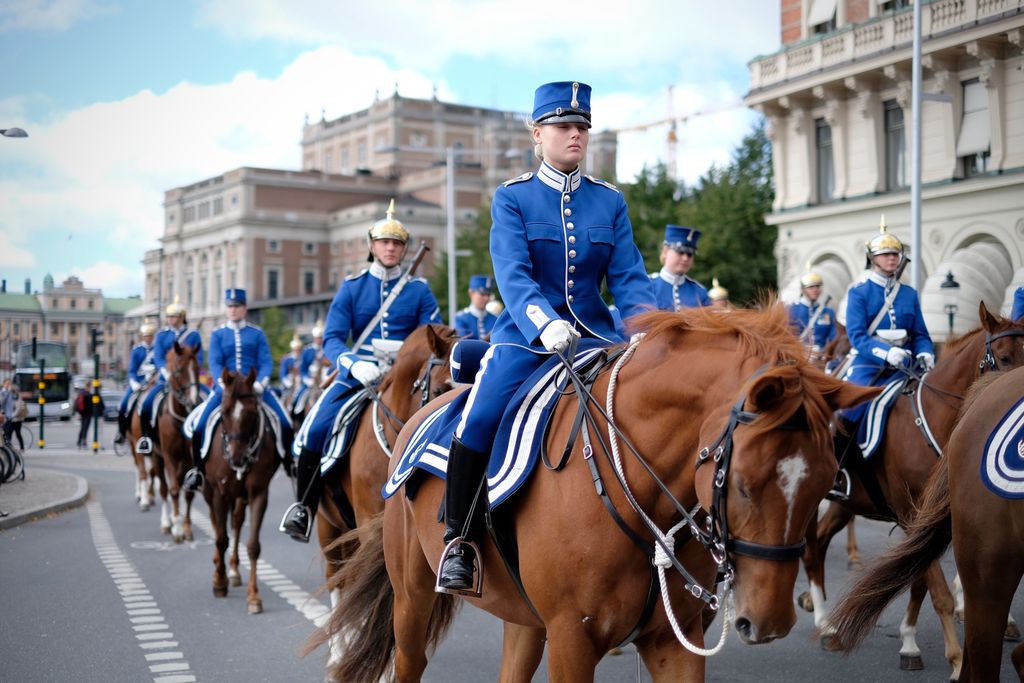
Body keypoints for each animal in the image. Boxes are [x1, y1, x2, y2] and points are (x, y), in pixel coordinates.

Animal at [201, 368, 280, 614]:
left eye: (252, 412)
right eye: (224, 412)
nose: (238, 458)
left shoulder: (258, 494)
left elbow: (253, 545)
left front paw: (254, 596)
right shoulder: (219, 493)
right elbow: (220, 539)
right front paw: (219, 581)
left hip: (239, 497)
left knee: (235, 522)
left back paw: (234, 571)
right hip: (210, 492)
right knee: (217, 524)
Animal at [316, 305, 879, 683]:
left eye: (826, 479)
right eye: (742, 484)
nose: (768, 623)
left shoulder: (673, 639)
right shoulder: (572, 639)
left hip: (524, 619)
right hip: (411, 597)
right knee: (404, 653)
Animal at [803, 302, 1024, 677]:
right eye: (1005, 357)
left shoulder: (927, 523)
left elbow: (919, 582)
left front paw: (909, 642)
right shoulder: (911, 516)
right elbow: (938, 591)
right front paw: (956, 658)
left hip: (845, 504)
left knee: (817, 543)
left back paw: (825, 623)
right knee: (804, 548)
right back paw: (820, 619)